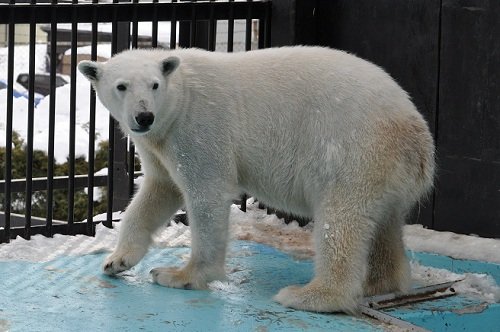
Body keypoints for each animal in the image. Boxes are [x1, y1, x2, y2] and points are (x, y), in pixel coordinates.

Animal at [78, 46, 434, 314]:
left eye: (153, 85)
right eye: (122, 86)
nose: (143, 116)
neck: (180, 96)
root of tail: (417, 135)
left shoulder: (199, 126)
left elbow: (207, 194)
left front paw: (178, 275)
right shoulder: (161, 143)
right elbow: (157, 192)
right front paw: (116, 261)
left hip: (354, 149)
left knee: (341, 220)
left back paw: (309, 295)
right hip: (386, 168)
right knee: (384, 223)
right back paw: (379, 283)